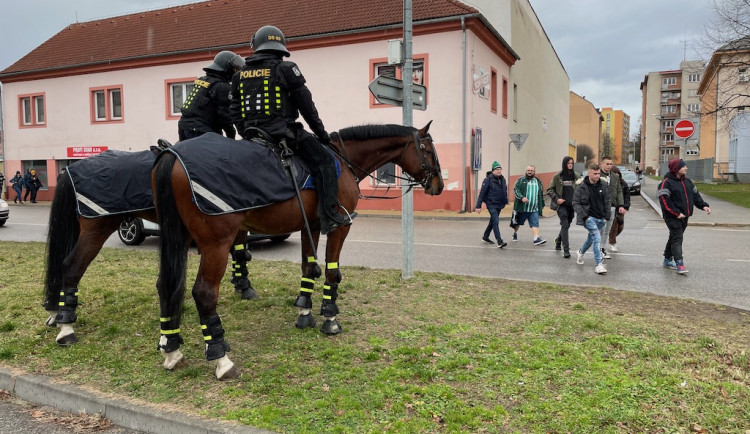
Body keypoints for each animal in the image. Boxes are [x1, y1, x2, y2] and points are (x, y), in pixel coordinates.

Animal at [44, 147, 258, 348]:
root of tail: (70, 170)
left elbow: (239, 251)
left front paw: (242, 285)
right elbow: (240, 252)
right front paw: (244, 287)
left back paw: (56, 313)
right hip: (96, 230)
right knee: (72, 266)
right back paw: (67, 330)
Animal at [154, 123, 446, 380]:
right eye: (428, 149)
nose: (439, 185)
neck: (343, 160)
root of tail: (172, 156)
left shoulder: (311, 227)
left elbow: (308, 267)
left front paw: (305, 312)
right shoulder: (340, 227)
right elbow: (331, 273)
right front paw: (330, 317)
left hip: (177, 238)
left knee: (166, 285)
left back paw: (171, 349)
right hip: (216, 244)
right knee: (204, 293)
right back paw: (221, 360)